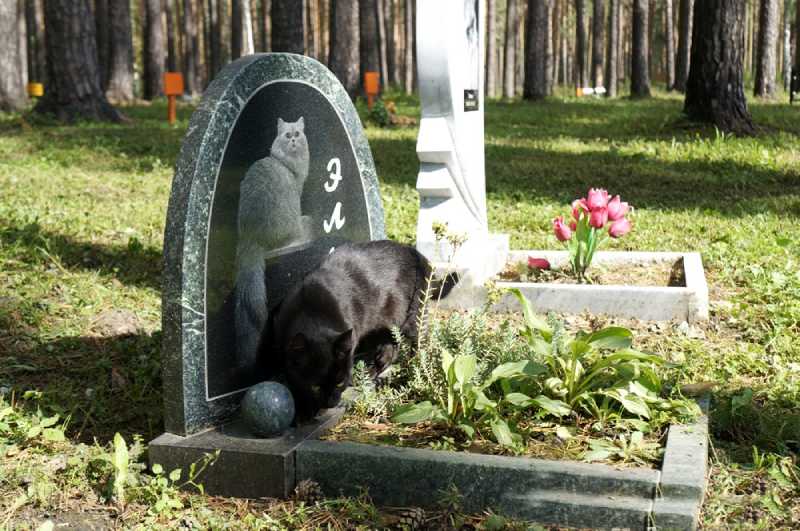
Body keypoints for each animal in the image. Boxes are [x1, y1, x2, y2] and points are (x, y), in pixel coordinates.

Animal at [268, 240, 456, 420]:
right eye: (315, 387)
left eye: (339, 382)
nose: (330, 403)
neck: (311, 311)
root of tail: (418, 255)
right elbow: (294, 378)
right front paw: (303, 408)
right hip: (386, 324)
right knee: (391, 348)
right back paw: (374, 371)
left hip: (412, 317)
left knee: (419, 341)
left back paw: (415, 367)